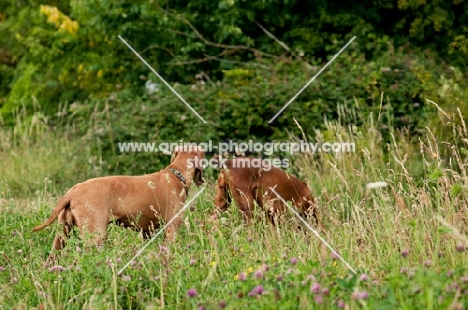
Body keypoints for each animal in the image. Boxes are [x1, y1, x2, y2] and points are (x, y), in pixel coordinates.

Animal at [31, 145, 203, 256]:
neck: (177, 174)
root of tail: (72, 191)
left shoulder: (147, 232)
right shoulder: (171, 229)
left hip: (62, 235)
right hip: (95, 236)